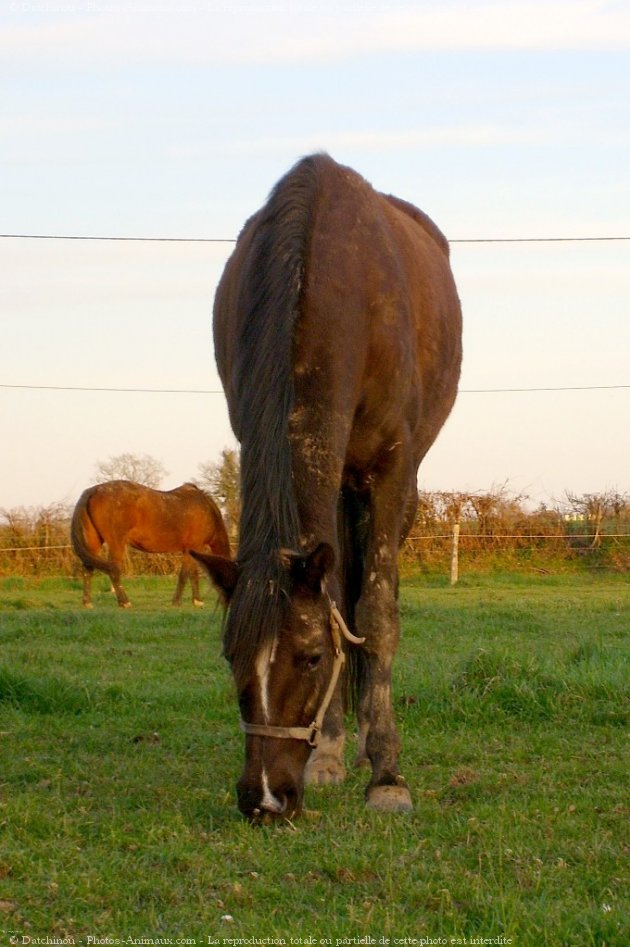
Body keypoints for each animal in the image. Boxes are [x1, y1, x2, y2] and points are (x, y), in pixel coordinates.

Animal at [72, 482, 230, 608]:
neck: (208, 510)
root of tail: (93, 491)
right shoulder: (192, 548)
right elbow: (185, 575)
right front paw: (177, 602)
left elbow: (192, 574)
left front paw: (197, 601)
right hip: (116, 544)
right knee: (113, 570)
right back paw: (124, 602)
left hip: (94, 543)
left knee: (88, 569)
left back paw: (87, 602)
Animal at [196, 156, 464, 824]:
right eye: (230, 656)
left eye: (312, 656)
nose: (264, 797)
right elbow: (342, 605)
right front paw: (330, 755)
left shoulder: (391, 471)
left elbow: (376, 614)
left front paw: (387, 773)